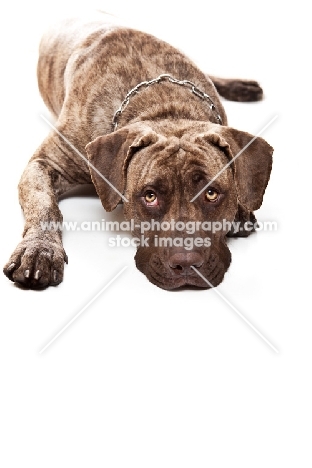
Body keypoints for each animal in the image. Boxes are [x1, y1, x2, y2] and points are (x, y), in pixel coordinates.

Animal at [3, 14, 272, 288]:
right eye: (150, 196)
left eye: (211, 193)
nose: (186, 263)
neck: (164, 105)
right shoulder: (46, 162)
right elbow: (45, 207)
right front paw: (39, 248)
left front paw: (240, 209)